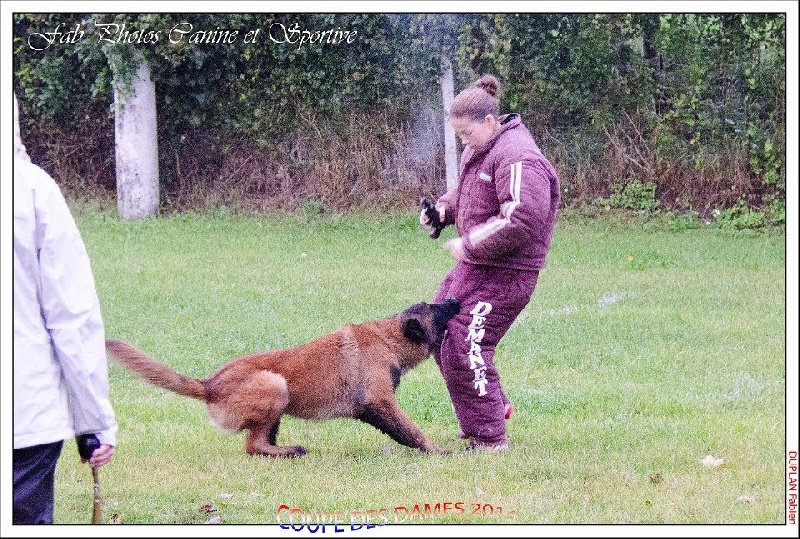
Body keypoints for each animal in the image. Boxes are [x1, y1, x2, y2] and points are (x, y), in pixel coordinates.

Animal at [106, 300, 460, 460]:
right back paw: (290, 451)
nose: (455, 300)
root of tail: (209, 384)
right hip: (276, 385)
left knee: (260, 442)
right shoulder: (380, 402)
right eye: (436, 308)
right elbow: (413, 431)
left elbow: (403, 433)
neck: (387, 338)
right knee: (253, 446)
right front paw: (439, 451)